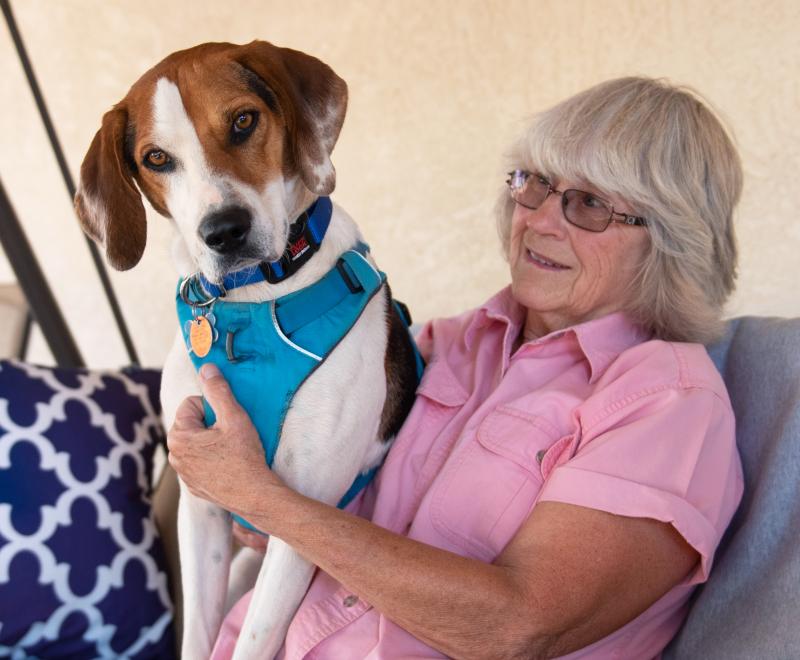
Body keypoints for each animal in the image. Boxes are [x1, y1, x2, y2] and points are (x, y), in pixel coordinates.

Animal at [75, 42, 418, 660]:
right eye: (156, 158)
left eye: (241, 121)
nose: (224, 231)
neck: (253, 303)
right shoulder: (201, 507)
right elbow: (198, 635)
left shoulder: (304, 516)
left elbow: (252, 641)